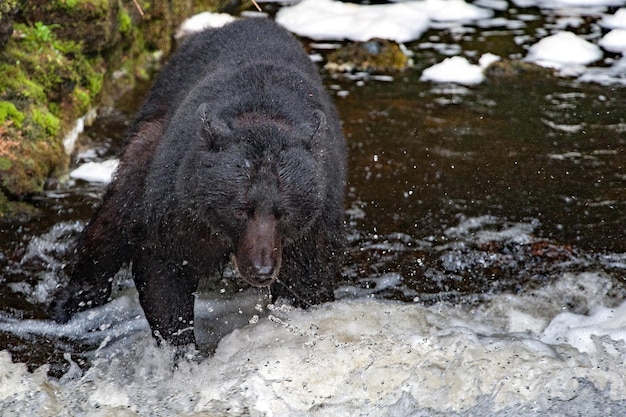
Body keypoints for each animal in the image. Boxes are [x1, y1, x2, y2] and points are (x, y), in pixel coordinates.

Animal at [51, 17, 346, 346]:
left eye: (284, 212)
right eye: (239, 209)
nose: (261, 270)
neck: (261, 114)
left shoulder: (314, 221)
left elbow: (308, 281)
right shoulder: (180, 207)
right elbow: (163, 267)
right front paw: (180, 345)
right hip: (149, 138)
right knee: (117, 212)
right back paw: (74, 299)